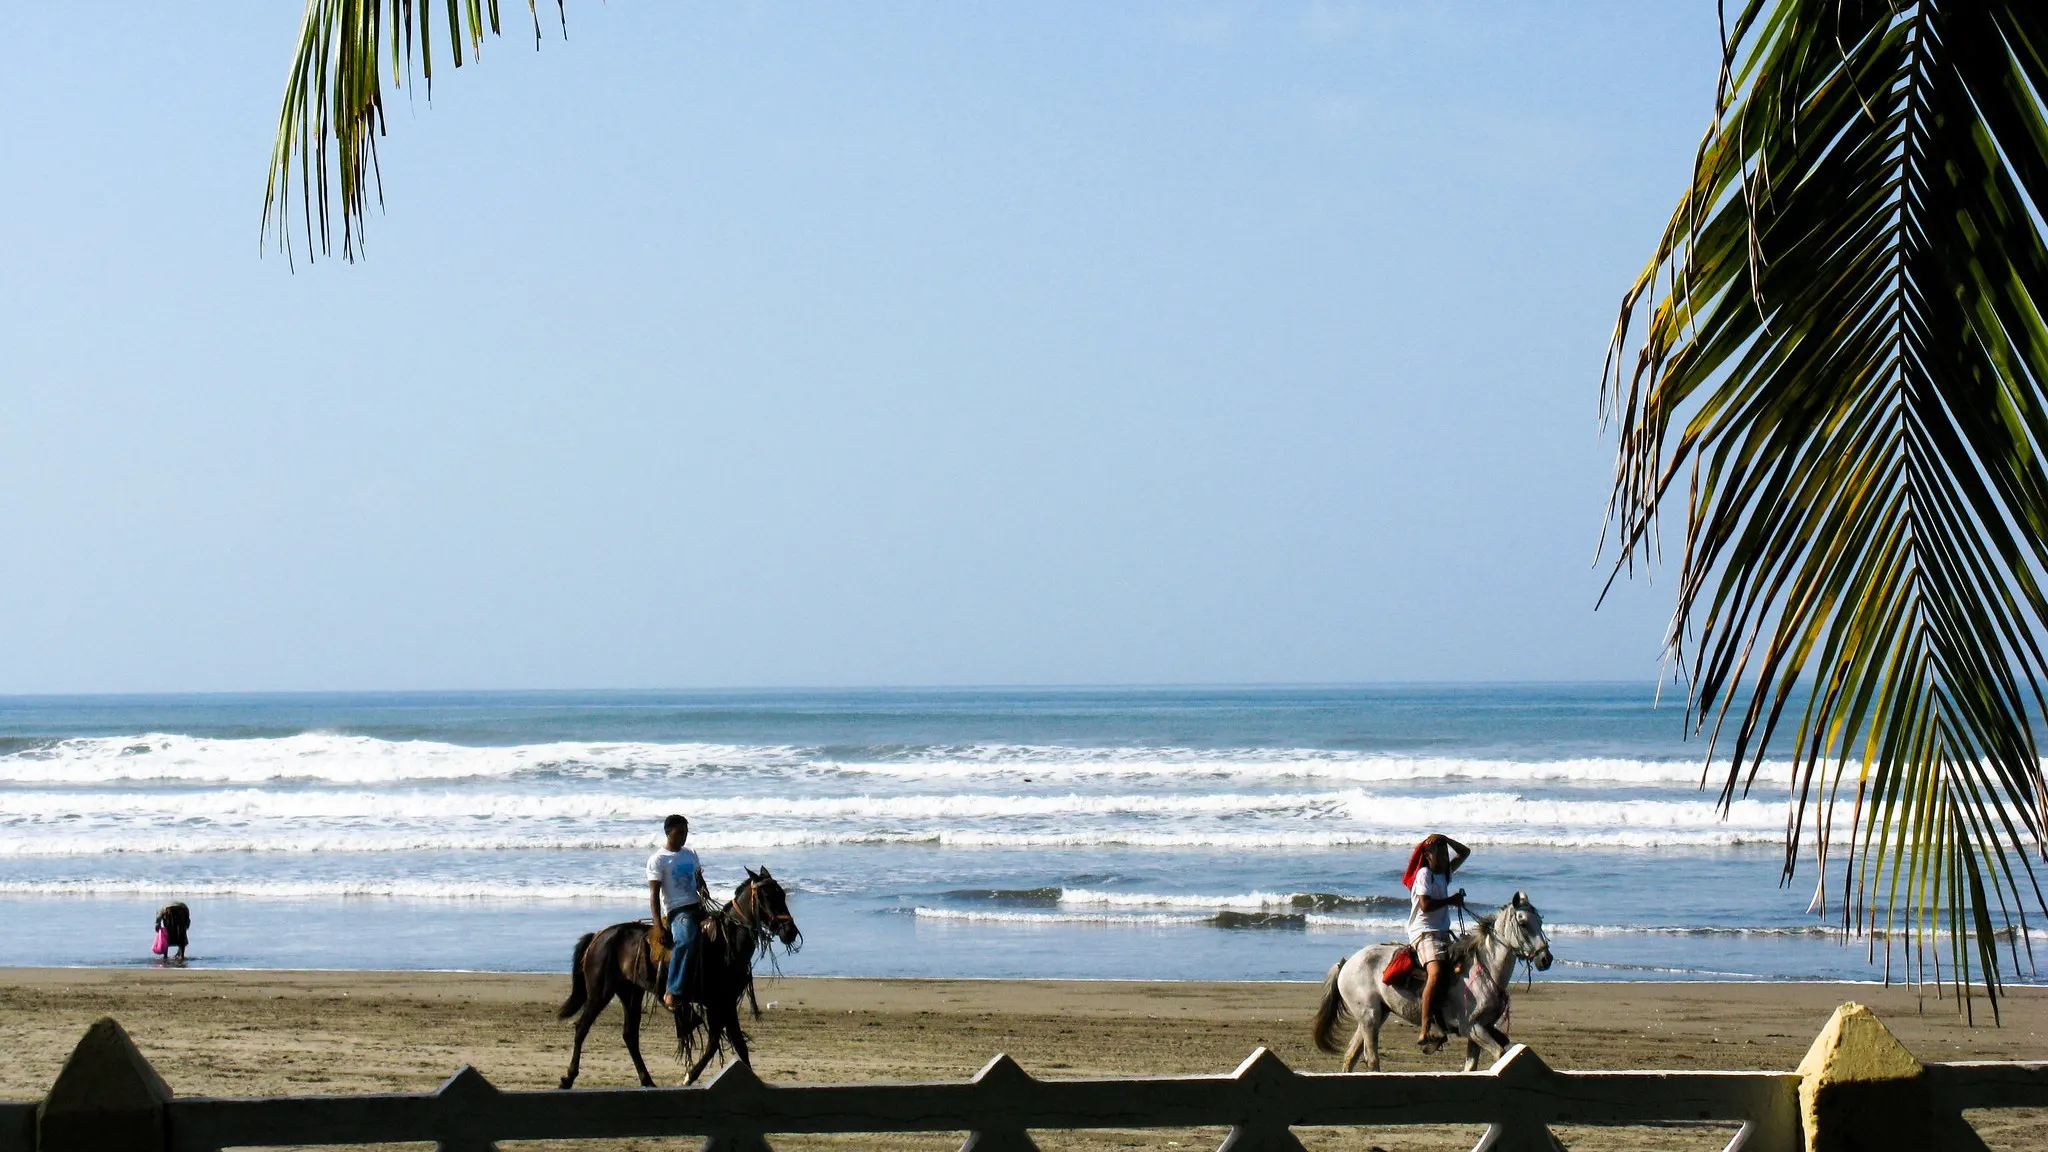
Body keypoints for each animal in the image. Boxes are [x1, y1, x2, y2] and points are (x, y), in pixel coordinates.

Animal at [561, 869, 798, 1082]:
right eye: (767, 896)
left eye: (782, 894)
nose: (790, 931)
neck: (725, 943)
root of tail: (598, 936)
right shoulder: (716, 1004)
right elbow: (715, 1042)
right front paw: (689, 1076)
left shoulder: (727, 1003)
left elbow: (738, 1045)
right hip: (600, 992)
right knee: (582, 1027)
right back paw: (569, 1077)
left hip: (631, 993)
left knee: (630, 1036)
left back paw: (647, 1080)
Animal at [1310, 889, 1548, 1065]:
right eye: (1523, 923)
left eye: (1540, 921)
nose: (1546, 958)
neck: (1486, 970)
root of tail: (1347, 962)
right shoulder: (1472, 1028)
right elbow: (1500, 1053)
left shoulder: (1481, 1029)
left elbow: (1472, 1066)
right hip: (1369, 1017)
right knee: (1371, 1058)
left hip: (1375, 1015)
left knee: (1351, 1055)